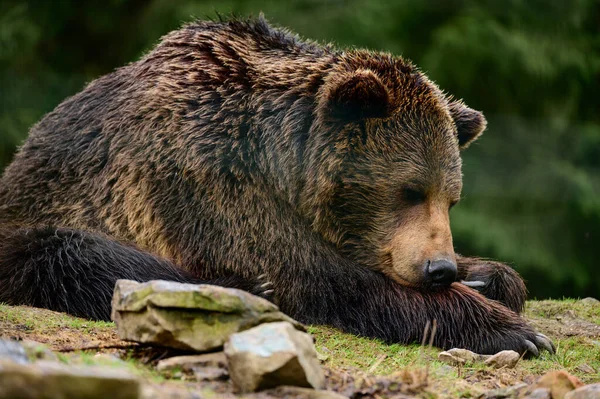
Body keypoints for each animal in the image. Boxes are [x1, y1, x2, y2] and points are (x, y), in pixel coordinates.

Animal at [0, 18, 552, 356]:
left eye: (449, 197)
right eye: (409, 190)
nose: (439, 269)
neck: (279, 158)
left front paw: (489, 277)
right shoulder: (205, 178)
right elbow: (317, 278)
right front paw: (516, 332)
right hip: (38, 217)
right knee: (72, 254)